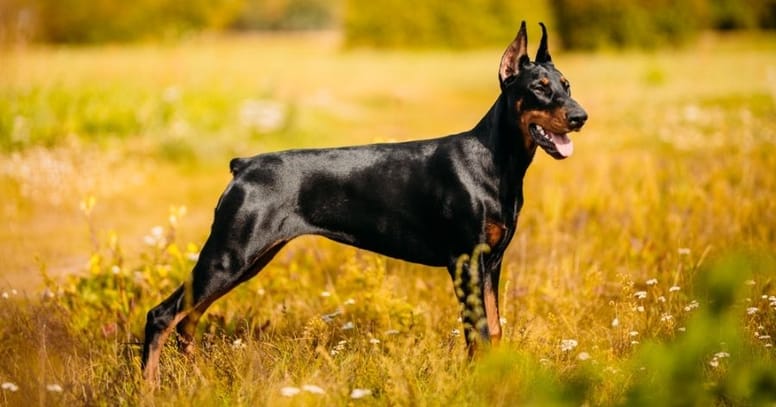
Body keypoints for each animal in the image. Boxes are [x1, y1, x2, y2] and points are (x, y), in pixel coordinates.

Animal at [142, 20, 584, 382]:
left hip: (250, 260)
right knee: (162, 315)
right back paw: (150, 387)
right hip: (229, 255)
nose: (581, 117)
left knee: (187, 321)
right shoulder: (465, 263)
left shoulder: (491, 262)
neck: (495, 160)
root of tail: (243, 165)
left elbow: (494, 328)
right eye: (539, 88)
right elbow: (477, 333)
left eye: (567, 85)